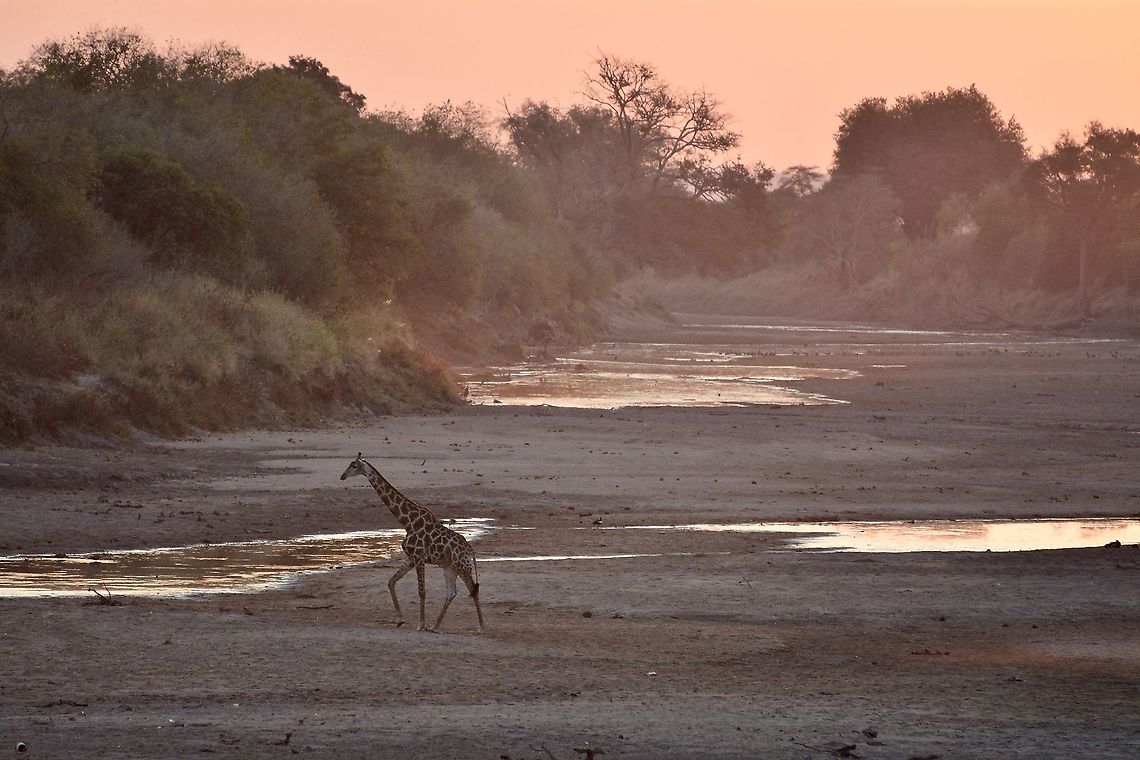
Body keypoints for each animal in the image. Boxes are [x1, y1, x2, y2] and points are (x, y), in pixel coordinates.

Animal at [340, 453, 485, 633]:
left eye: (353, 466)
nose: (342, 476)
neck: (407, 521)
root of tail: (470, 550)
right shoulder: (411, 557)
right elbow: (391, 581)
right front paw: (400, 620)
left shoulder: (419, 557)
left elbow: (421, 591)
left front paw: (420, 624)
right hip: (449, 567)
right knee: (451, 593)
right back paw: (435, 626)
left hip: (462, 566)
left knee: (473, 590)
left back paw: (481, 627)